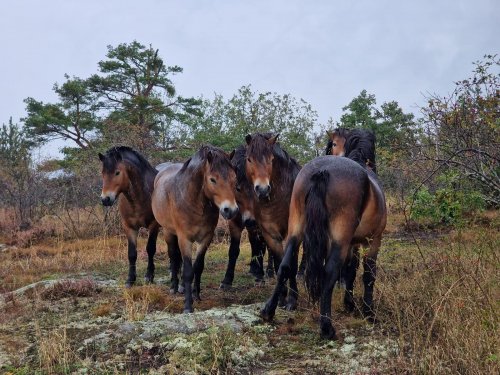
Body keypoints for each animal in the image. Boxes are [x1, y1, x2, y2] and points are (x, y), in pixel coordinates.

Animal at [97, 147, 160, 288]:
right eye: (102, 173)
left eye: (117, 172)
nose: (105, 199)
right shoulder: (129, 227)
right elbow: (131, 253)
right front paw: (130, 279)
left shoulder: (153, 225)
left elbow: (150, 249)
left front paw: (149, 276)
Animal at [151, 145, 239, 312]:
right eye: (212, 179)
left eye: (234, 178)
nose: (230, 210)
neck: (193, 202)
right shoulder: (184, 239)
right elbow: (187, 271)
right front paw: (187, 306)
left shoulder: (206, 238)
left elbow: (198, 267)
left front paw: (196, 295)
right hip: (168, 232)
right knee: (173, 257)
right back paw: (173, 287)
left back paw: (181, 287)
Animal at [243, 134, 298, 306]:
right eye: (249, 159)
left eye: (271, 159)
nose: (262, 189)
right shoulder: (270, 234)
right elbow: (280, 263)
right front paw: (281, 298)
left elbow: (291, 265)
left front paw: (293, 299)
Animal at [262, 129, 386, 340]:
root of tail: (323, 171)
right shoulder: (372, 241)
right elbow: (367, 275)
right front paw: (369, 313)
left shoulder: (352, 244)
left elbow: (351, 271)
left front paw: (349, 304)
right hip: (340, 238)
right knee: (329, 273)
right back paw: (327, 327)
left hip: (297, 228)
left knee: (285, 266)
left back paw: (268, 311)